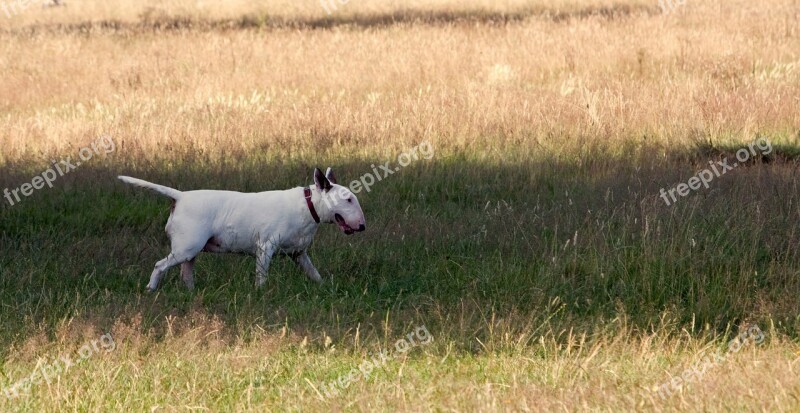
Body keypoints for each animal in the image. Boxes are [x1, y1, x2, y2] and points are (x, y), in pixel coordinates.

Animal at [116, 167, 366, 290]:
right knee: (160, 265)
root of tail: (181, 196)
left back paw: (190, 292)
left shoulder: (299, 253)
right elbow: (261, 275)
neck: (308, 205)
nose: (362, 226)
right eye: (348, 200)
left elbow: (313, 273)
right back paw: (150, 289)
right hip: (186, 248)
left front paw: (324, 288)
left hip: (190, 251)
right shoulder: (265, 246)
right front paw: (261, 293)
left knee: (186, 273)